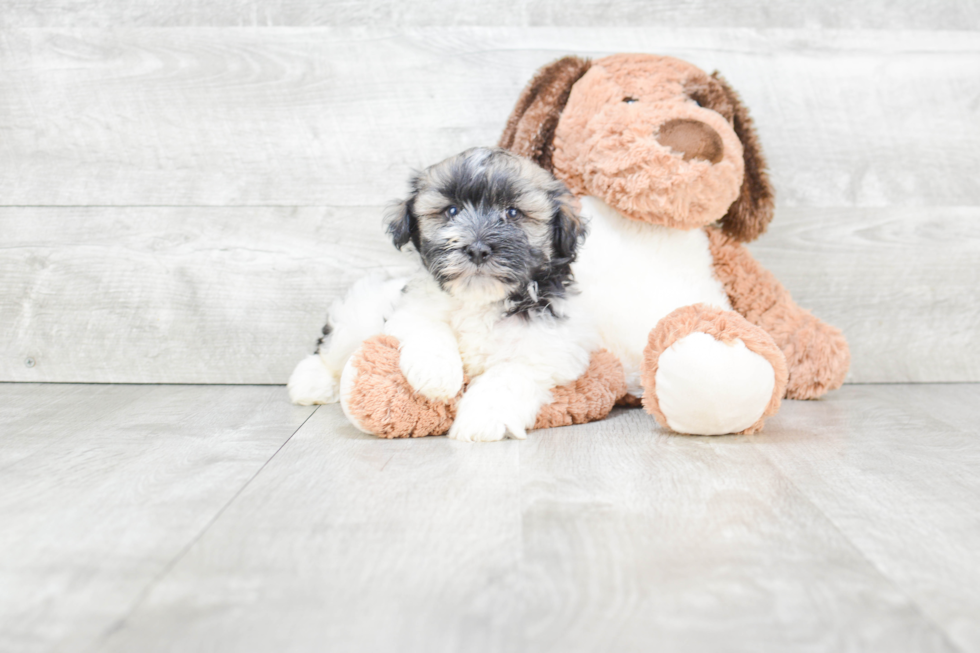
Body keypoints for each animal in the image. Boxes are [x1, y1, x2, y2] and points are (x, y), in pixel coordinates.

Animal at [288, 147, 596, 440]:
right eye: (452, 211)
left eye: (512, 213)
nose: (477, 249)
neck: (479, 299)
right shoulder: (411, 308)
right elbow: (428, 327)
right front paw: (437, 375)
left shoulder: (550, 348)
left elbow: (509, 374)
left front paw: (481, 420)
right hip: (356, 318)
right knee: (330, 349)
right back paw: (310, 383)